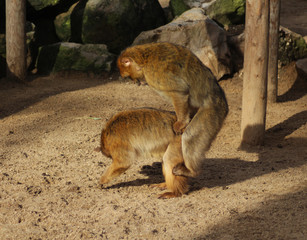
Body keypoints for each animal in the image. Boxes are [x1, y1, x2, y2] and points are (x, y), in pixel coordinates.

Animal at [118, 42, 229, 178]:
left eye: (128, 76)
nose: (135, 82)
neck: (144, 59)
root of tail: (222, 102)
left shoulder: (155, 71)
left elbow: (179, 91)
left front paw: (181, 122)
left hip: (213, 112)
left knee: (190, 137)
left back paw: (191, 171)